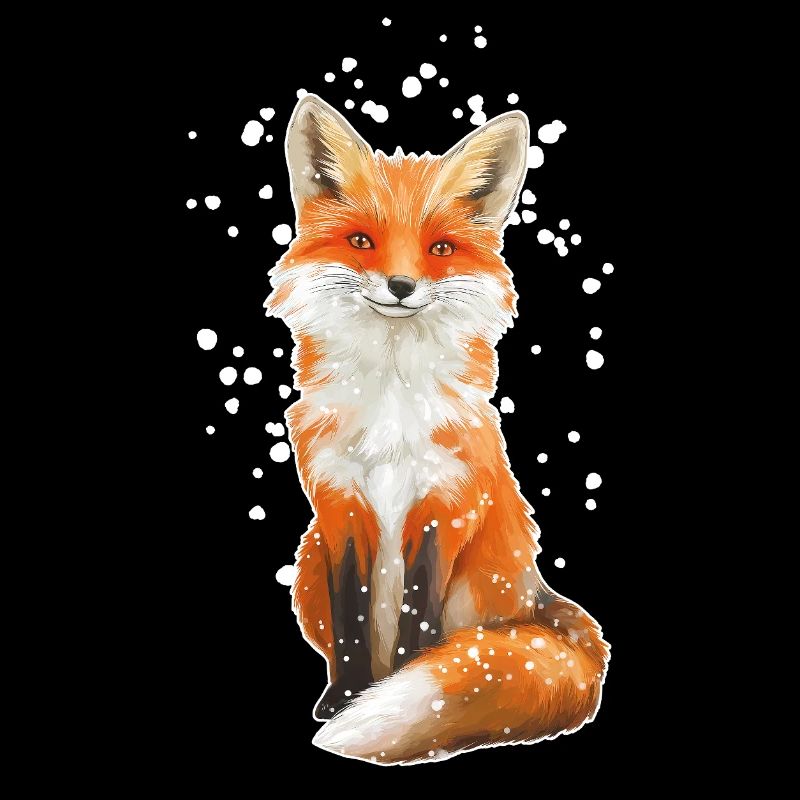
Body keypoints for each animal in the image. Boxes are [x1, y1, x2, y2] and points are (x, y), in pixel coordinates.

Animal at [265, 94, 609, 765]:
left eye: (441, 249)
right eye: (362, 242)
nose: (402, 286)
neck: (391, 406)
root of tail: (539, 597)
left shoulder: (444, 502)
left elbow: (417, 617)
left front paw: (401, 688)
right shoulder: (341, 508)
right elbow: (352, 619)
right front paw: (349, 698)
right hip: (310, 559)